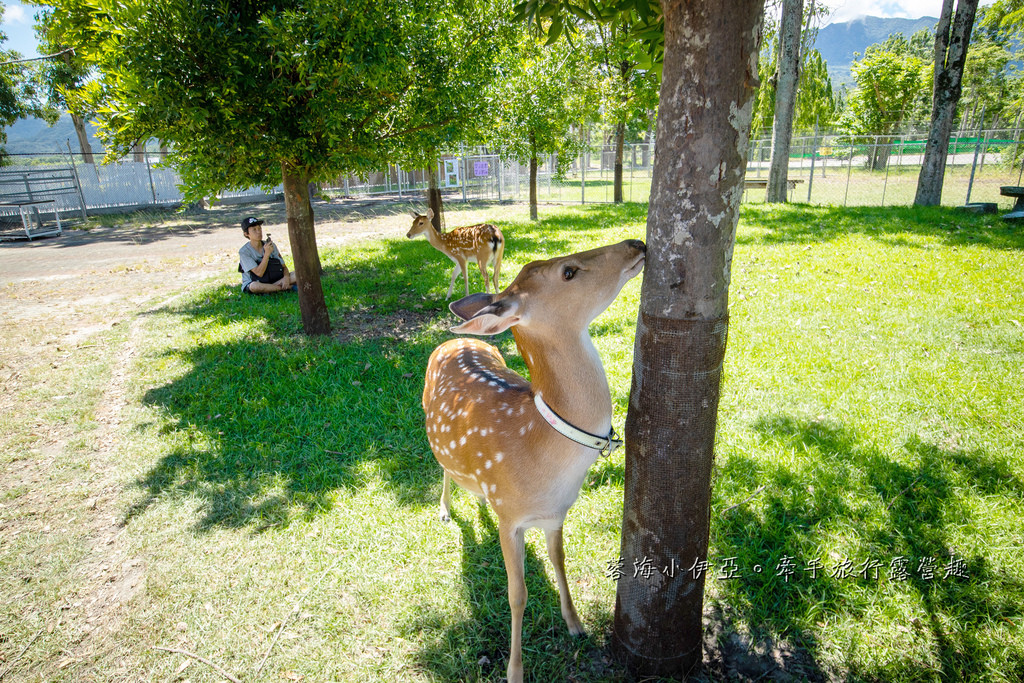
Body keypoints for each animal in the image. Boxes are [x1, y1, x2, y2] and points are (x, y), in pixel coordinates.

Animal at [417, 239, 643, 683]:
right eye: (568, 271)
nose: (636, 243)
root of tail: (451, 342)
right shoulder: (511, 518)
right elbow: (517, 595)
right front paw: (515, 670)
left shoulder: (556, 515)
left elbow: (560, 562)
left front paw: (576, 624)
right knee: (444, 469)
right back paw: (446, 509)